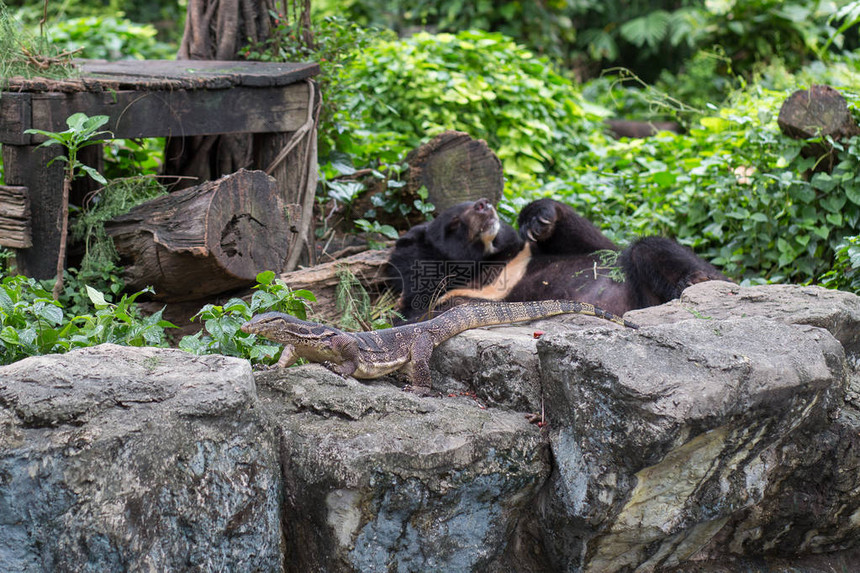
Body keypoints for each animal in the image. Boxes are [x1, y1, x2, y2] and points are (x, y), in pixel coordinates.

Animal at [386, 197, 728, 322]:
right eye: (454, 224)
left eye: (469, 203)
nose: (484, 204)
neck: (488, 268)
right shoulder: (443, 298)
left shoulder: (525, 253)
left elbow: (596, 245)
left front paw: (538, 217)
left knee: (646, 249)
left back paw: (696, 280)